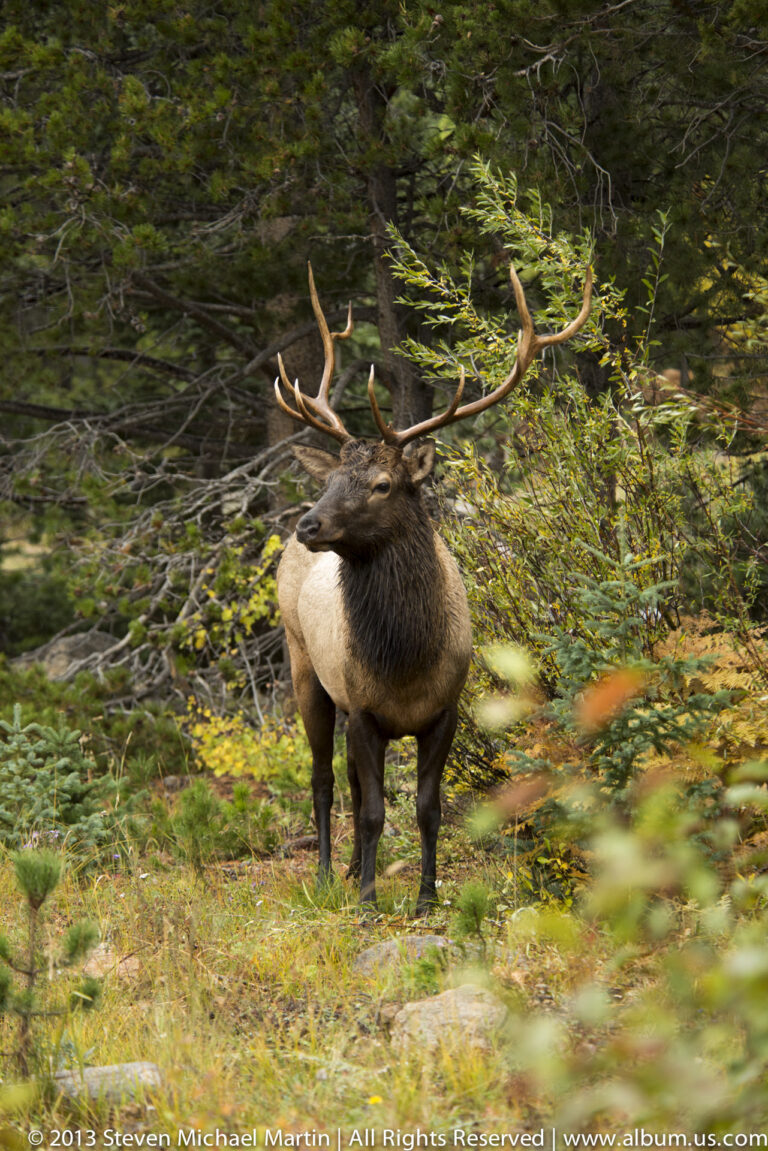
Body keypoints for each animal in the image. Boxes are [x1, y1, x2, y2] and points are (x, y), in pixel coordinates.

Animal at [275, 261, 592, 912]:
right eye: (334, 478)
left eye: (381, 484)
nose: (308, 524)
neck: (405, 662)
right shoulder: (365, 709)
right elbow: (375, 811)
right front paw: (370, 901)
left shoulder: (443, 710)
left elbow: (428, 808)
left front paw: (425, 897)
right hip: (303, 664)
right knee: (322, 780)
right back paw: (328, 875)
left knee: (346, 780)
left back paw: (350, 869)